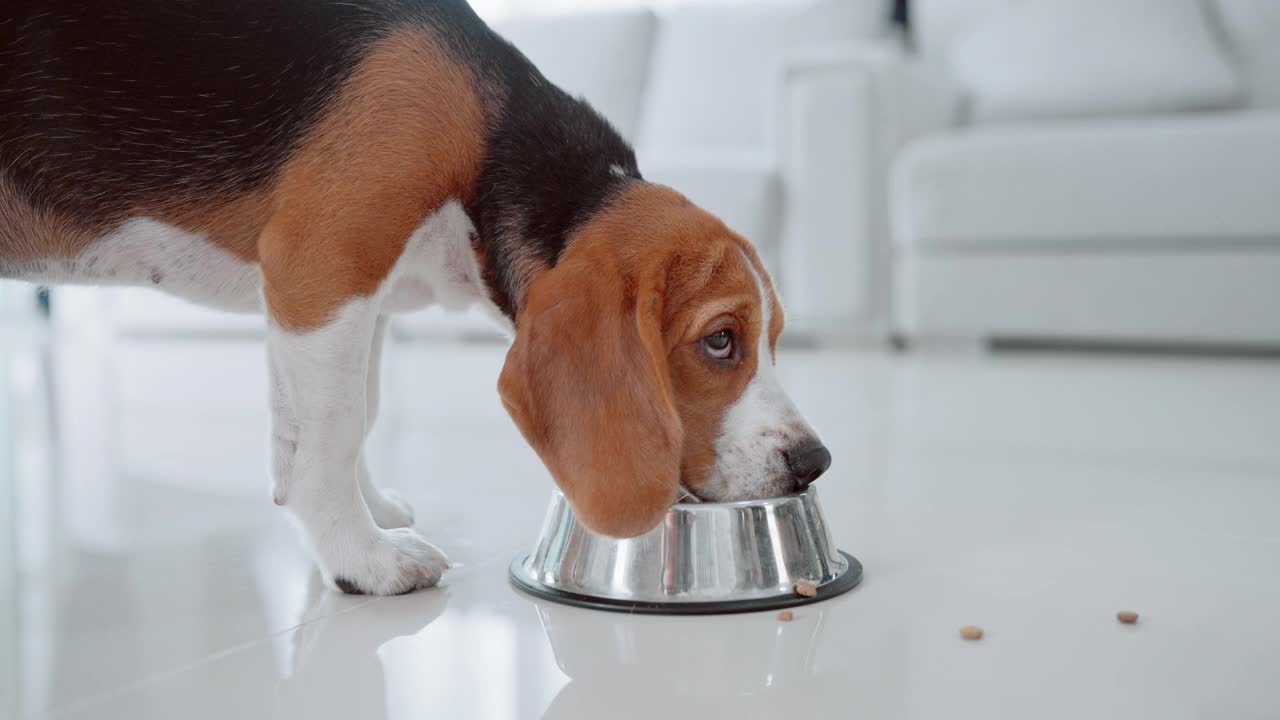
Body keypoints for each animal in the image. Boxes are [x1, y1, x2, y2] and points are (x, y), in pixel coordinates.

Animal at [0, 0, 829, 594]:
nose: (814, 462)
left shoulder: (350, 298)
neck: (488, 135)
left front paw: (358, 510)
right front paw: (360, 557)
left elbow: (343, 417)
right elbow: (335, 429)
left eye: (773, 337)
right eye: (719, 340)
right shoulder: (322, 270)